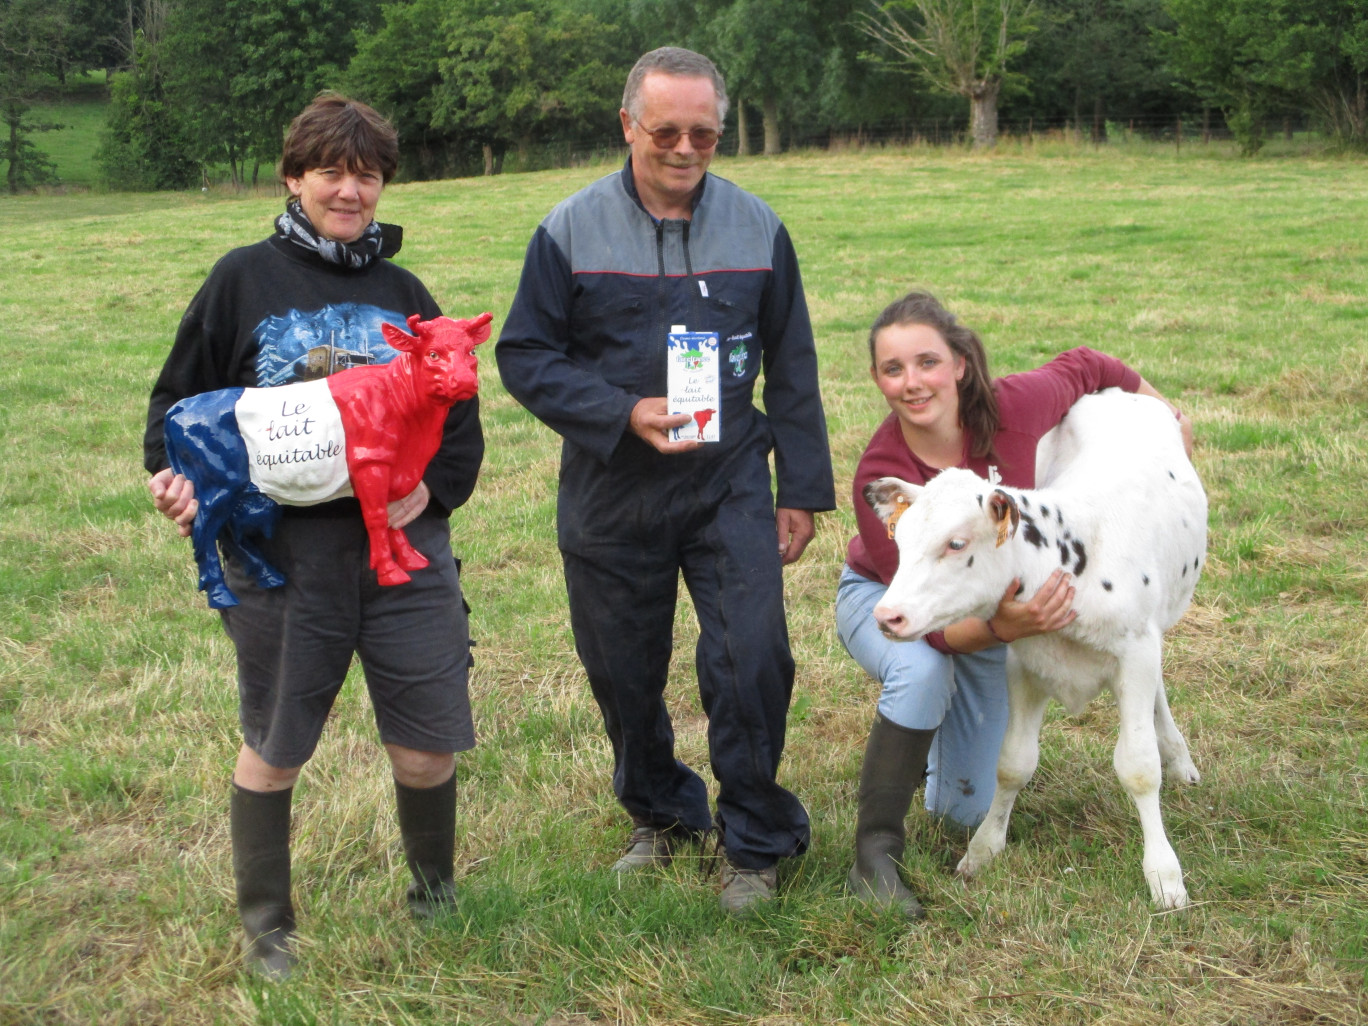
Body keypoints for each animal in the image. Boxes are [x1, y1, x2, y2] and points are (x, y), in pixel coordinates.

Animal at [870, 388, 1203, 913]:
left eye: (956, 543)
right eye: (899, 541)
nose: (888, 616)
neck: (1073, 562)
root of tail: (1116, 393)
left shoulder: (1136, 651)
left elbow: (1139, 767)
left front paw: (1164, 874)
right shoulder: (1024, 664)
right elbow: (1012, 763)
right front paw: (983, 849)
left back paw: (1180, 760)